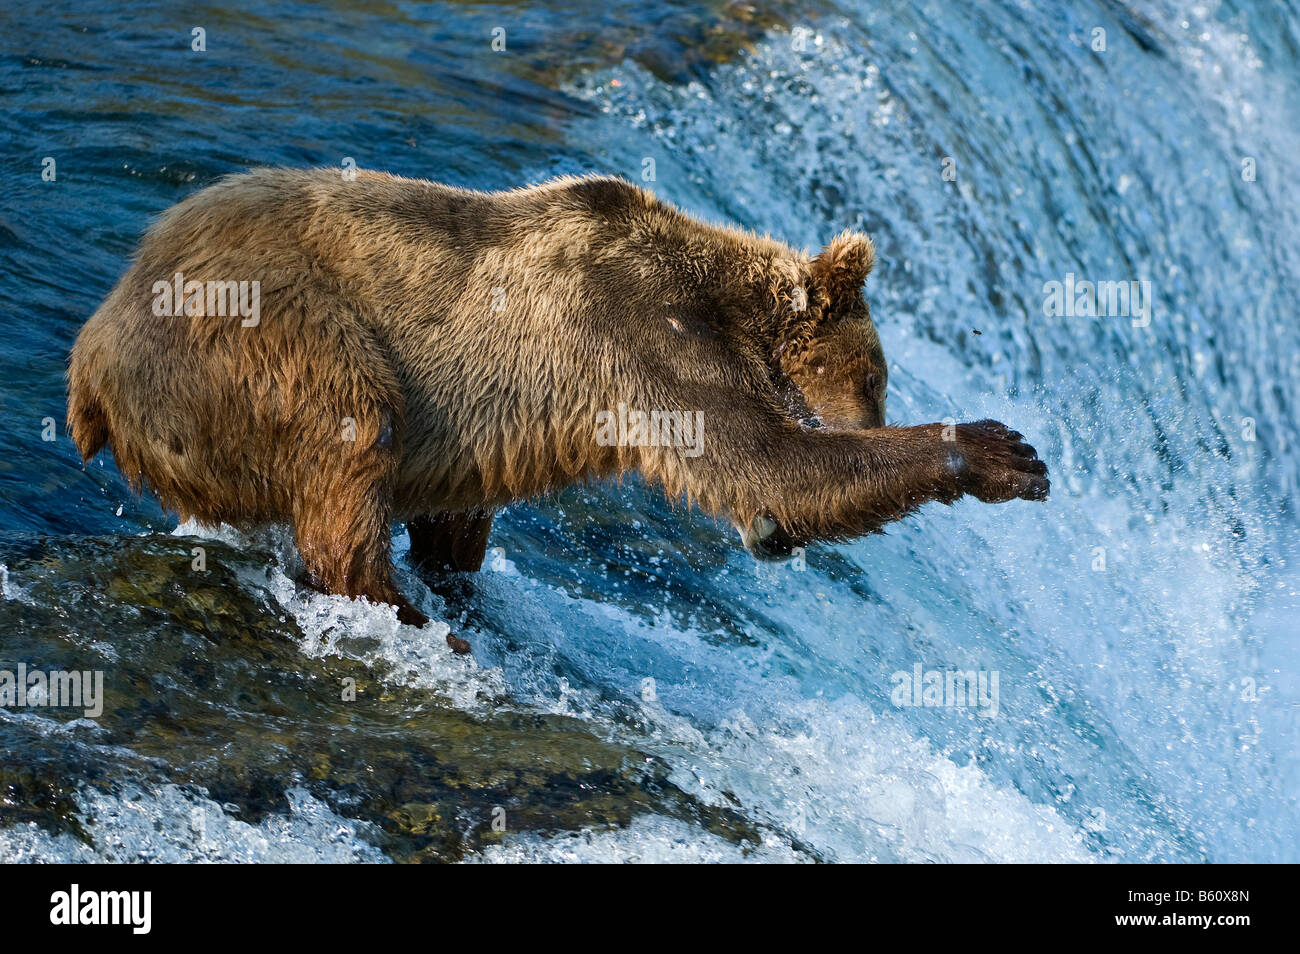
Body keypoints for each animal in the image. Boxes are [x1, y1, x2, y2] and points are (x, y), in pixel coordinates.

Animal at [67, 168, 1049, 653]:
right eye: (878, 377)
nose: (874, 416)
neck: (726, 306)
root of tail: (90, 354)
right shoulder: (646, 332)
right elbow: (760, 464)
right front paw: (1001, 452)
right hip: (260, 331)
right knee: (350, 429)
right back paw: (400, 611)